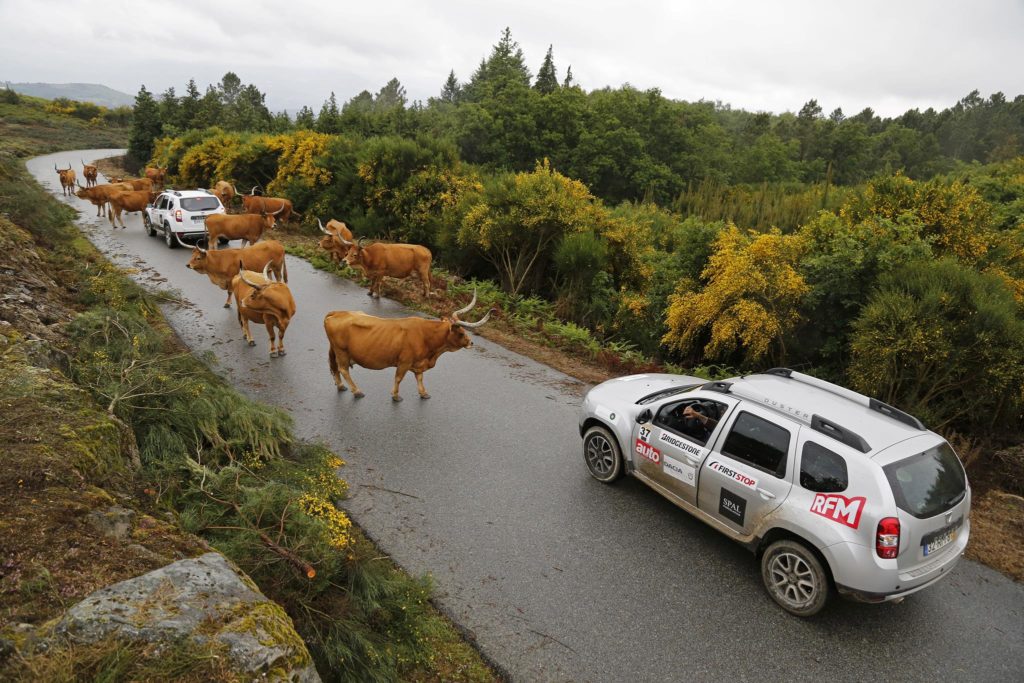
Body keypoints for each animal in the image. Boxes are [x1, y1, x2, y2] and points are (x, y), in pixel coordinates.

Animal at [321, 286, 493, 401]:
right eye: (461, 333)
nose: (471, 342)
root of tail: (337, 312)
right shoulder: (404, 361)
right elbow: (399, 378)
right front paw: (396, 395)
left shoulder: (419, 362)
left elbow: (420, 378)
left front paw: (423, 393)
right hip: (342, 351)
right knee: (343, 369)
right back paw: (357, 391)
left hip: (335, 350)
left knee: (334, 367)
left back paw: (340, 385)